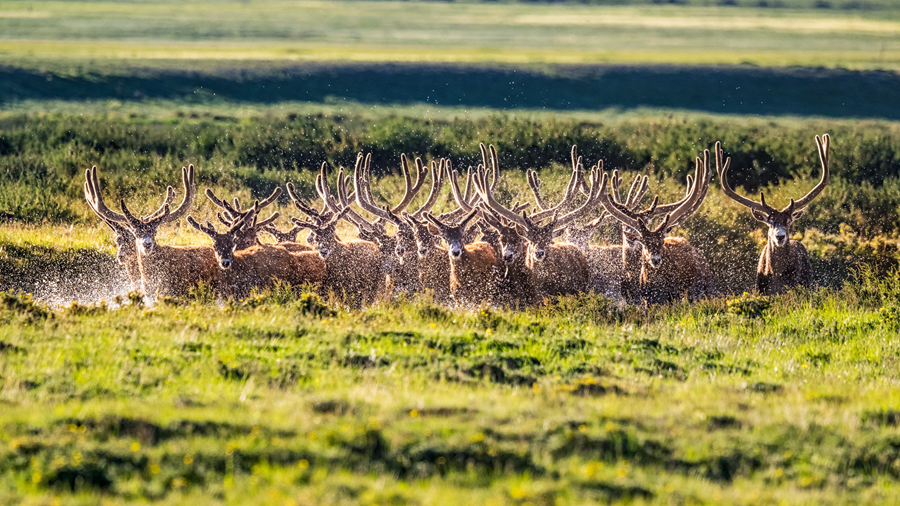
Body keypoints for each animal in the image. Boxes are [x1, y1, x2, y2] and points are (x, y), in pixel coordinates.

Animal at [597, 150, 716, 304]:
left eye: (661, 241)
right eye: (644, 242)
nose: (656, 259)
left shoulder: (675, 296)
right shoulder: (645, 300)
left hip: (703, 290)